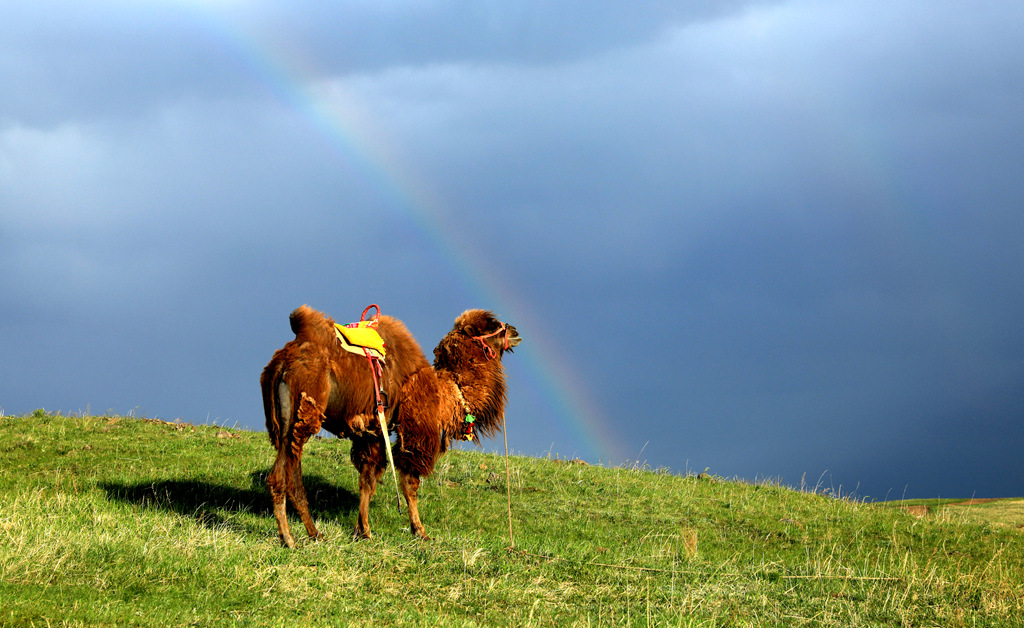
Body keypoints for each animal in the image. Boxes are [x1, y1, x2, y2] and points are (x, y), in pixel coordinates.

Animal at [262, 303, 520, 545]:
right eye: (491, 325)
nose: (514, 331)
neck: (446, 393)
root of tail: (283, 361)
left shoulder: (372, 432)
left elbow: (368, 480)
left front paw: (363, 531)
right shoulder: (416, 432)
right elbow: (410, 483)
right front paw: (420, 531)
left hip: (284, 423)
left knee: (288, 473)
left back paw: (312, 534)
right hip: (304, 412)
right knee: (283, 475)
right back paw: (290, 539)